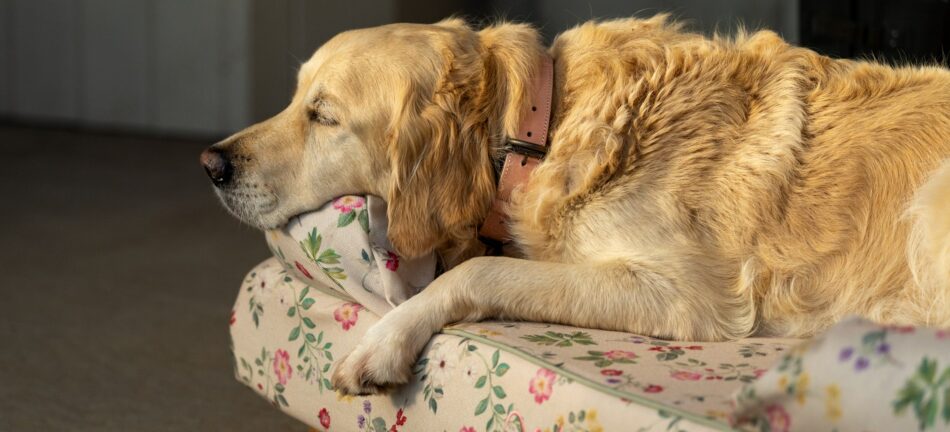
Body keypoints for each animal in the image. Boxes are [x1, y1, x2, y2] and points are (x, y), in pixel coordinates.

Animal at [201, 16, 950, 394]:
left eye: (324, 116)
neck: (542, 126)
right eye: (295, 100)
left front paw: (383, 341)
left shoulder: (685, 297)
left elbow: (476, 270)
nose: (211, 164)